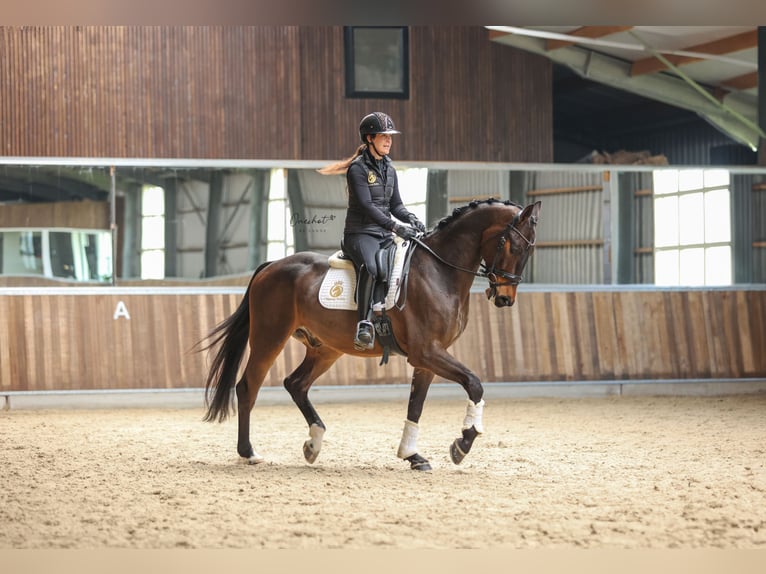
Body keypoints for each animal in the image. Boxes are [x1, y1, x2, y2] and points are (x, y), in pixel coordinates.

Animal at [201, 198, 544, 472]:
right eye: (513, 245)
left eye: (530, 250)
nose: (505, 299)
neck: (439, 271)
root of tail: (273, 265)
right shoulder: (427, 352)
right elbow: (474, 384)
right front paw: (463, 444)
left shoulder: (427, 359)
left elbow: (416, 406)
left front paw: (412, 455)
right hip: (269, 338)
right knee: (248, 387)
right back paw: (249, 453)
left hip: (325, 349)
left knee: (295, 384)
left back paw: (313, 444)